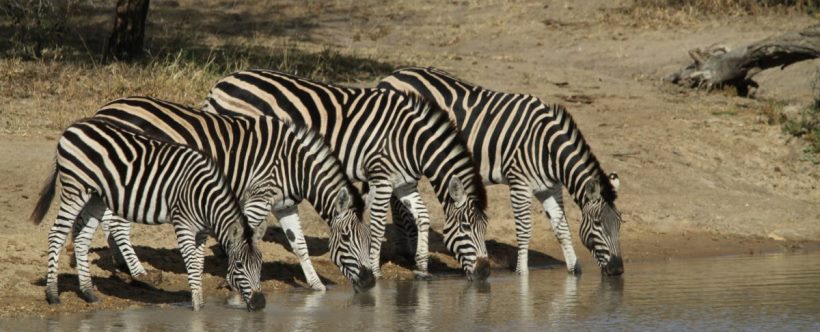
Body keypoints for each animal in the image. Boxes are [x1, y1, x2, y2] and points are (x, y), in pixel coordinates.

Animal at [28, 118, 266, 310]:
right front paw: (197, 310)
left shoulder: (202, 232)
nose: (261, 304)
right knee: (56, 235)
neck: (204, 197)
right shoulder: (183, 224)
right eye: (239, 265)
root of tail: (72, 127)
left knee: (82, 238)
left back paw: (89, 293)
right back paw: (53, 295)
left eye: (261, 264)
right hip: (75, 188)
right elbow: (191, 264)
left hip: (95, 196)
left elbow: (198, 265)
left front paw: (200, 305)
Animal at [95, 96, 374, 294]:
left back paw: (122, 265)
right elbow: (246, 235)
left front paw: (316, 285)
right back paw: (140, 273)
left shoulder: (284, 204)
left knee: (107, 220)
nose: (370, 283)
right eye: (346, 237)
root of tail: (105, 109)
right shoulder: (259, 197)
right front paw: (235, 281)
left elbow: (299, 244)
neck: (295, 164)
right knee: (117, 224)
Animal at [204, 69, 490, 280]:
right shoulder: (381, 177)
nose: (486, 272)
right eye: (467, 227)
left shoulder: (404, 182)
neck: (410, 139)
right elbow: (377, 225)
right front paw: (375, 269)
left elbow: (422, 216)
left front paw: (422, 267)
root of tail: (222, 82)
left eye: (484, 228)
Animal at [382, 67, 624, 274]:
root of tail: (392, 75)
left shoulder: (549, 187)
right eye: (598, 224)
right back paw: (407, 249)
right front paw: (522, 274)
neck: (547, 146)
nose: (618, 270)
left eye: (619, 224)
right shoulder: (519, 182)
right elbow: (524, 229)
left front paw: (574, 270)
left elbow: (561, 227)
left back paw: (407, 249)